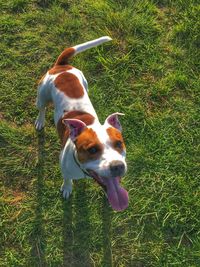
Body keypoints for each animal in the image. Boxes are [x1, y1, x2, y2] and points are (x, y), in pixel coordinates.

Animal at [35, 36, 129, 211]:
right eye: (92, 150)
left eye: (119, 144)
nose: (118, 166)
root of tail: (62, 66)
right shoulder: (65, 169)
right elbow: (67, 180)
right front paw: (67, 188)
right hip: (41, 95)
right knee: (42, 108)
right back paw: (40, 121)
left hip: (84, 82)